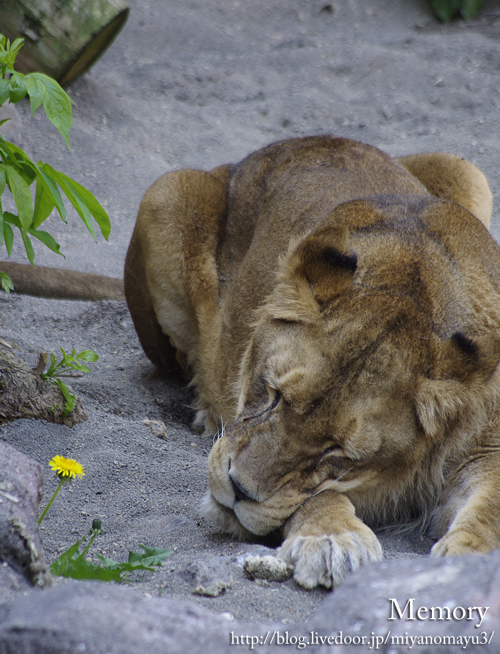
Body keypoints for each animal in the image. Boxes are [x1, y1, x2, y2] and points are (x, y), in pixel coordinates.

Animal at [124, 136, 500, 592]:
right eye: (273, 395)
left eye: (337, 451)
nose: (236, 489)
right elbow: (314, 496)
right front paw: (331, 538)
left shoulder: (488, 448)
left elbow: (491, 506)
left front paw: (465, 568)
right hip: (165, 193)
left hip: (467, 172)